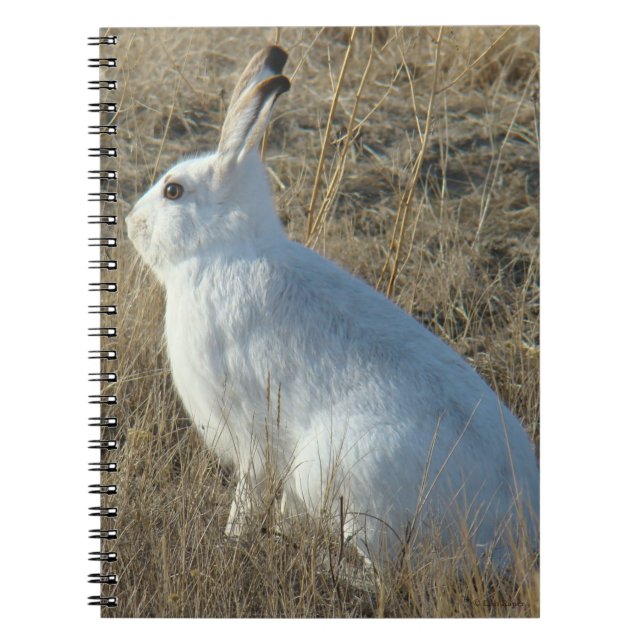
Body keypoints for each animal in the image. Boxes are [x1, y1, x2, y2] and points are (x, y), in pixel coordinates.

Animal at [126, 45, 539, 567]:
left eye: (173, 191)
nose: (130, 221)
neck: (226, 249)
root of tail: (517, 533)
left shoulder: (250, 434)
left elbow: (248, 492)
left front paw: (232, 539)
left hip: (349, 478)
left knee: (382, 572)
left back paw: (324, 562)